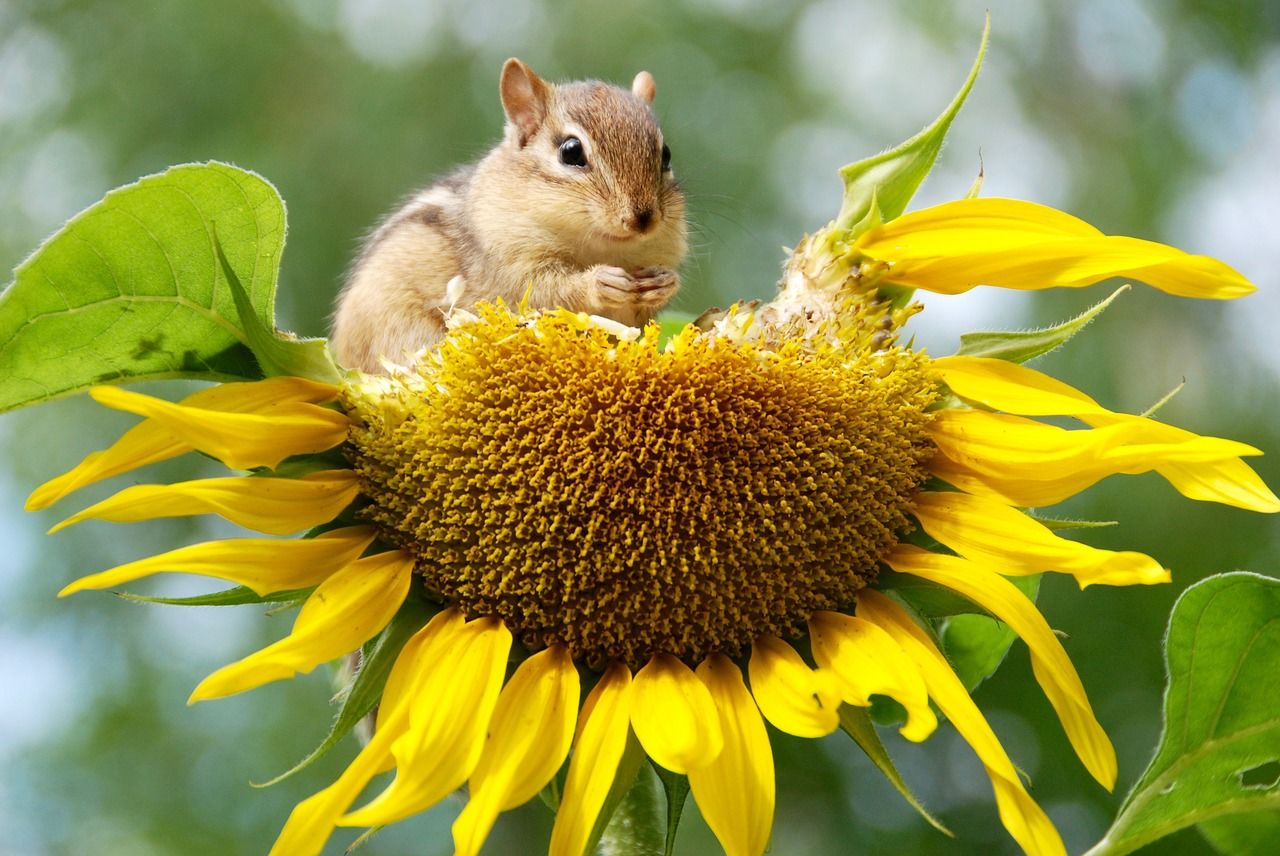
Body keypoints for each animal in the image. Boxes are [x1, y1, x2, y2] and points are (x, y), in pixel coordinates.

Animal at [331, 58, 688, 373]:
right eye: (571, 151)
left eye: (666, 155)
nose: (643, 219)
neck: (601, 247)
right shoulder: (510, 262)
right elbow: (548, 292)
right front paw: (599, 281)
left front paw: (665, 282)